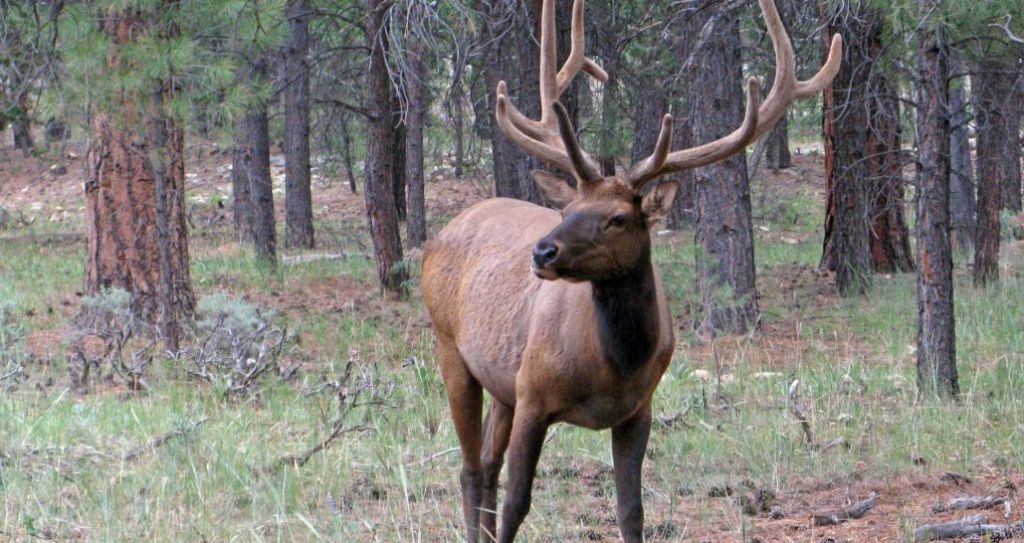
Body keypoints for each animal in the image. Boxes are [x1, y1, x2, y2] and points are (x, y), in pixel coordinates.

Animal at [421, 2, 839, 536]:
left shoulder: (637, 408)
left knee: (486, 466)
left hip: (500, 380)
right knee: (471, 469)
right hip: (449, 346)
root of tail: (441, 235)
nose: (542, 252)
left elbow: (631, 509)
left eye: (618, 218)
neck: (612, 364)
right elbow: (518, 503)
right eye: (568, 207)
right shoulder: (533, 393)